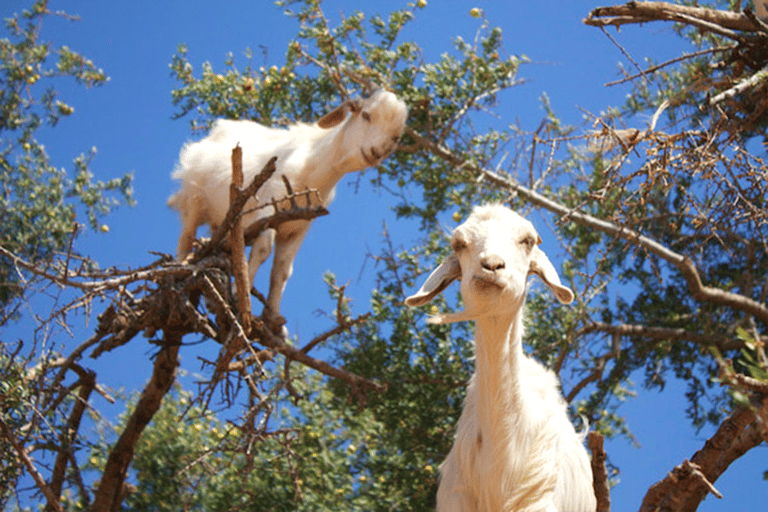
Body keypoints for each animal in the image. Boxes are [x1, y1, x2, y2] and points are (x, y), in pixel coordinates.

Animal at [168, 86, 408, 326]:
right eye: (366, 115)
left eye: (396, 137)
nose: (376, 152)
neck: (314, 166)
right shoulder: (266, 209)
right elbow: (263, 249)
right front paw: (239, 295)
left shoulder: (297, 228)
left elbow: (282, 270)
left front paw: (273, 318)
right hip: (193, 200)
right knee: (185, 240)